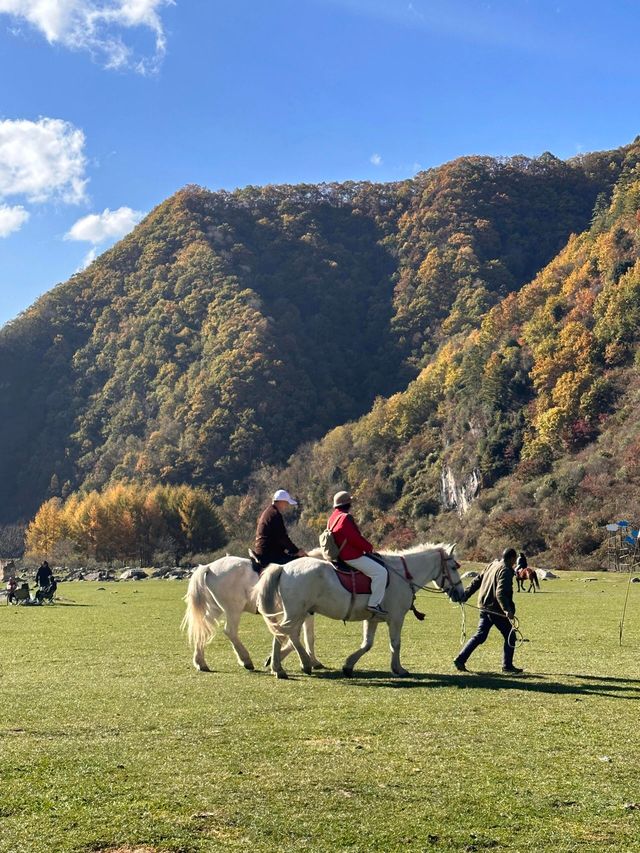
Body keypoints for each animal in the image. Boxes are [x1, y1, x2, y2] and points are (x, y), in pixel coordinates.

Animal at [181, 560, 322, 672]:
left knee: (204, 629)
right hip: (233, 610)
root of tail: (209, 567)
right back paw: (246, 660)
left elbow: (304, 637)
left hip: (215, 608)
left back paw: (201, 663)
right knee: (230, 631)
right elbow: (303, 637)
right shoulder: (302, 615)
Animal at [256, 544, 464, 680]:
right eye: (453, 567)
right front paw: (398, 668)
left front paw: (348, 665)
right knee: (284, 634)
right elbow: (395, 644)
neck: (402, 575)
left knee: (287, 634)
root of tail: (284, 567)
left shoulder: (372, 619)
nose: (461, 594)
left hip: (299, 613)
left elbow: (367, 644)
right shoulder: (396, 619)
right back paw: (288, 667)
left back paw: (285, 665)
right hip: (296, 613)